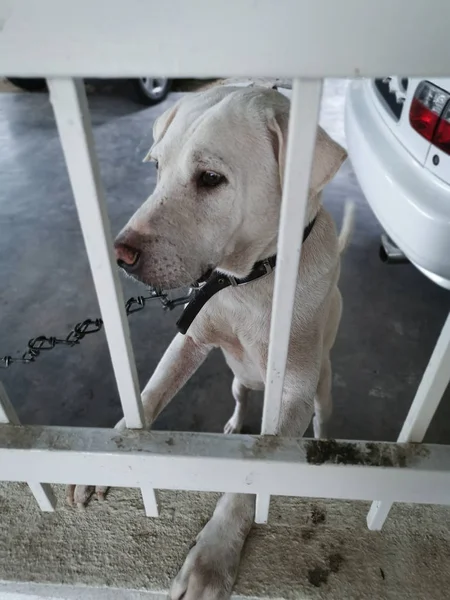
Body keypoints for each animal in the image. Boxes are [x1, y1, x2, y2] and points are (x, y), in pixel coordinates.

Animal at [69, 85, 352, 600]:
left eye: (211, 179)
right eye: (157, 167)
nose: (119, 256)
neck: (248, 281)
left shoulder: (293, 394)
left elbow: (249, 480)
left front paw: (213, 556)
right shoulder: (190, 340)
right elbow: (149, 395)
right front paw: (110, 451)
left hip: (322, 388)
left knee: (323, 415)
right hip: (239, 383)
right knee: (241, 399)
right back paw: (234, 424)